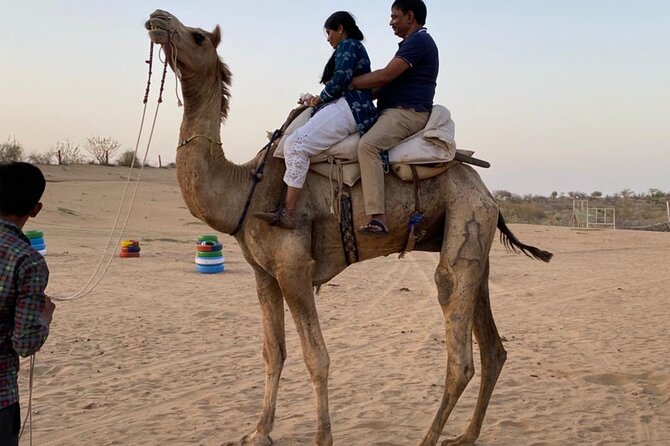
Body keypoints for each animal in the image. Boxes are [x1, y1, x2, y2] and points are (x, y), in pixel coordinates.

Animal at [145, 10, 552, 446]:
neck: (246, 190)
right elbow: (274, 352)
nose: (157, 18)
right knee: (494, 349)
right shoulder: (264, 274)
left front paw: (322, 436)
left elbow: (316, 358)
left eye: (198, 36)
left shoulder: (294, 269)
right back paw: (464, 436)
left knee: (458, 349)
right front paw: (258, 432)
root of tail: (488, 192)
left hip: (466, 223)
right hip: (477, 248)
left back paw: (430, 437)